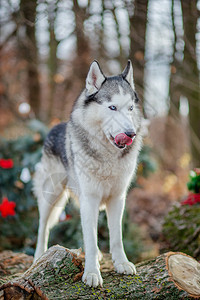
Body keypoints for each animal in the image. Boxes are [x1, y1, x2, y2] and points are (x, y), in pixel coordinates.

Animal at [34, 59, 144, 288]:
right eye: (112, 107)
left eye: (130, 108)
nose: (131, 134)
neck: (108, 157)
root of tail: (55, 127)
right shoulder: (90, 198)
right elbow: (91, 240)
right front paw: (92, 273)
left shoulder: (117, 199)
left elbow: (116, 237)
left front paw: (122, 263)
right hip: (51, 196)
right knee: (43, 227)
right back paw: (38, 256)